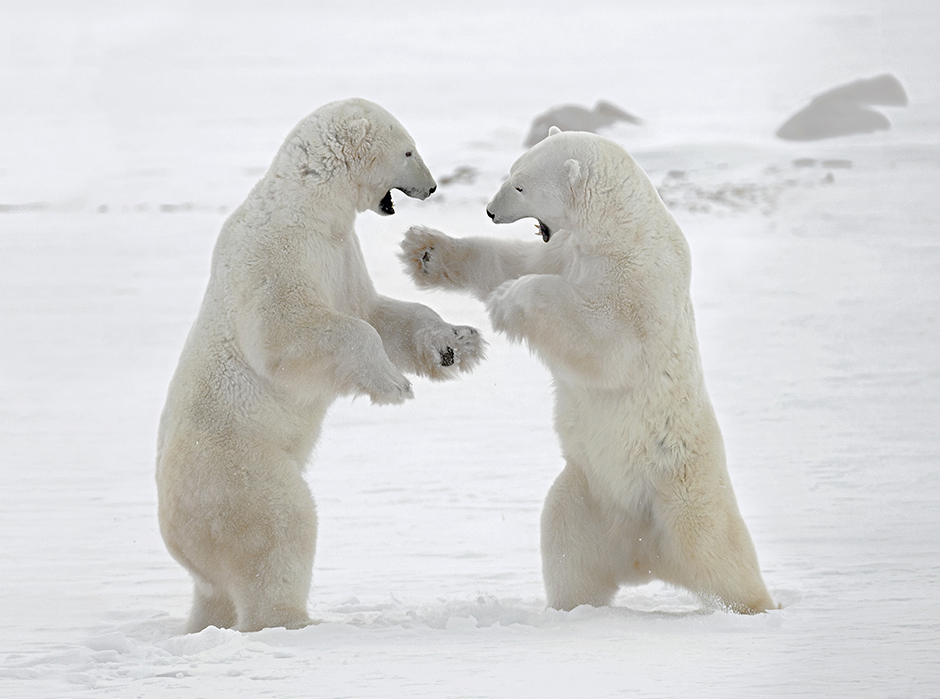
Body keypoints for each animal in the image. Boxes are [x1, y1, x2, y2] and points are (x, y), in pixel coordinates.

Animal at [155, 100, 484, 636]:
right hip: (235, 470)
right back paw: (295, 622)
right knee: (281, 525)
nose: (433, 187)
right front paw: (393, 384)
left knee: (216, 591)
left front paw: (457, 343)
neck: (309, 201)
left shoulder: (341, 251)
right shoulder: (280, 250)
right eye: (408, 150)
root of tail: (174, 533)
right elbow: (290, 331)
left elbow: (376, 312)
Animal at [400, 129, 776, 616]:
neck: (618, 230)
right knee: (565, 545)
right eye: (512, 171)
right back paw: (573, 608)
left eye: (520, 184)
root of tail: (645, 554)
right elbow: (511, 261)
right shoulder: (564, 250)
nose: (489, 210)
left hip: (684, 492)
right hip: (587, 493)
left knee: (720, 555)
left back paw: (756, 606)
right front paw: (423, 249)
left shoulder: (640, 283)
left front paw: (510, 299)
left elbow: (607, 340)